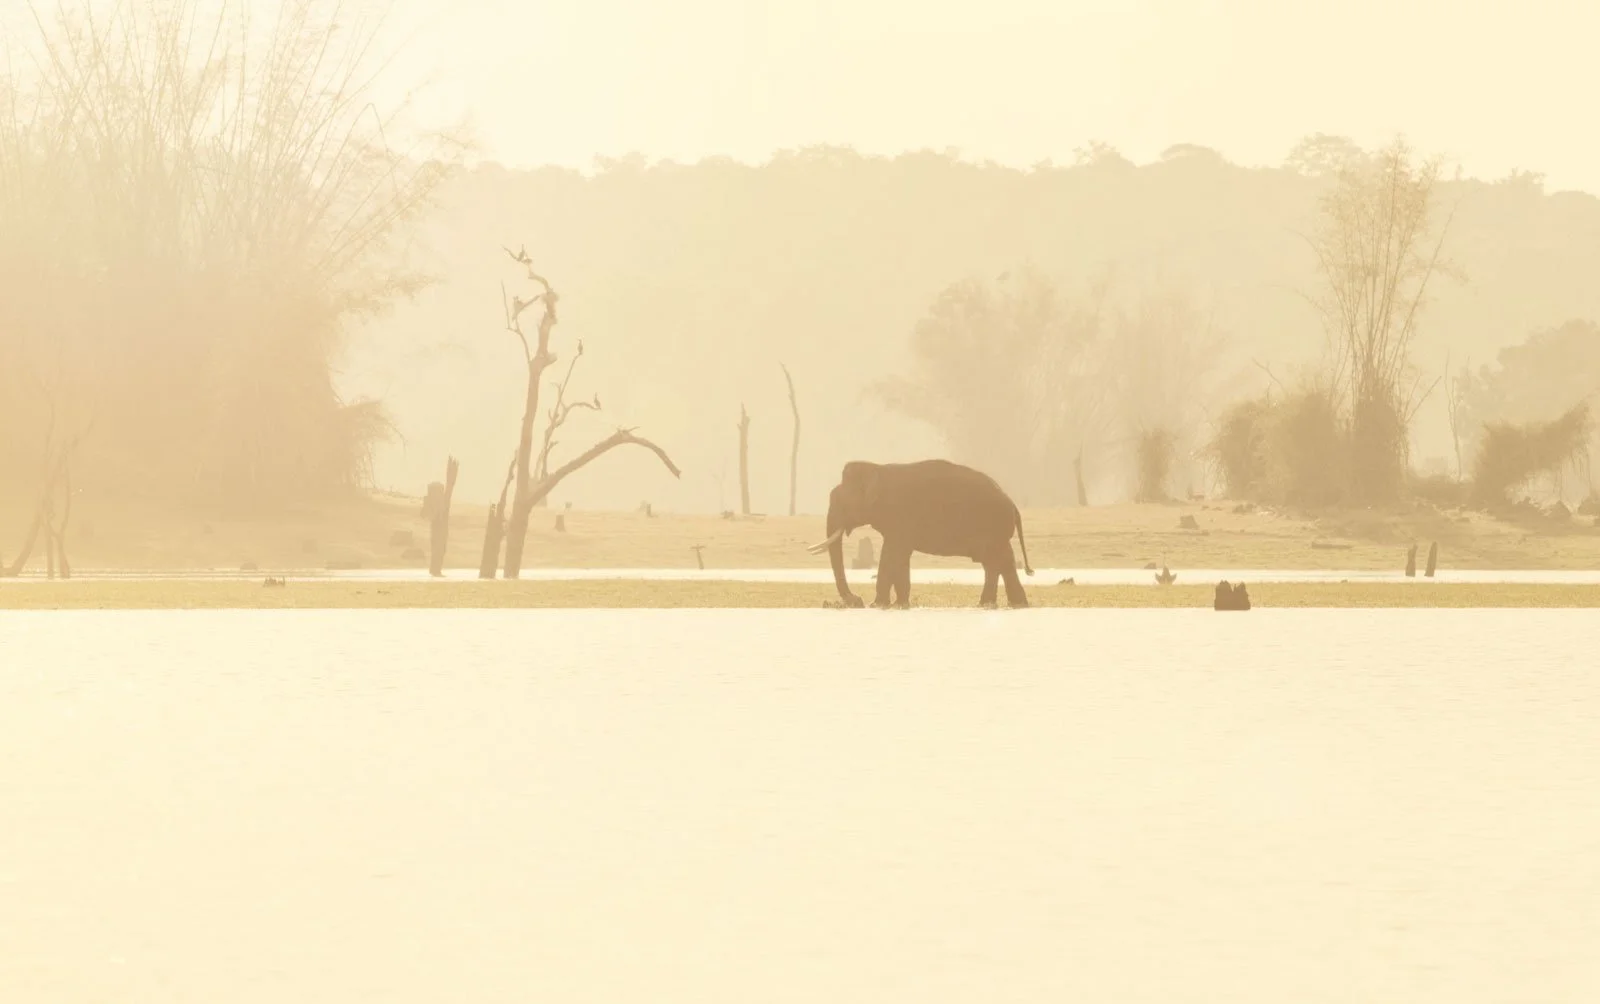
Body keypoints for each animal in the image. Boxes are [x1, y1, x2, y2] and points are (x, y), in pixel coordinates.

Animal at [805, 459, 1034, 609]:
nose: (856, 600)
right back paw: (1013, 604)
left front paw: (877, 605)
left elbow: (891, 554)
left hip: (992, 527)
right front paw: (899, 604)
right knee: (1002, 561)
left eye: (839, 501)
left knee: (994, 561)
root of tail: (1012, 505)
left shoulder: (899, 516)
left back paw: (990, 604)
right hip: (996, 531)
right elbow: (899, 556)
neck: (876, 468)